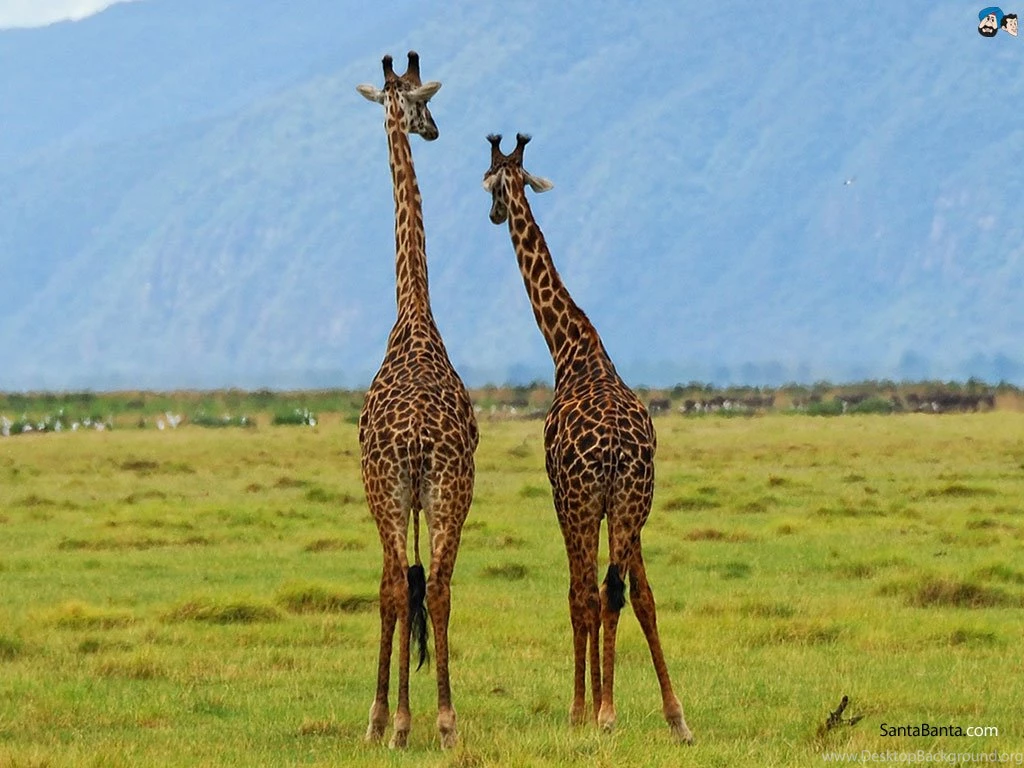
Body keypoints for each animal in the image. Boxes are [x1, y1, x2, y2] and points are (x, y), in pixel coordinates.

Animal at [482, 133, 694, 744]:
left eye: (491, 180)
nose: (494, 214)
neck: (572, 348)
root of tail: (619, 450)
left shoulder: (564, 497)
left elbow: (579, 596)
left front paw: (581, 708)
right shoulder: (617, 508)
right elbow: (636, 595)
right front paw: (666, 712)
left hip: (583, 501)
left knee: (593, 593)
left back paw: (601, 711)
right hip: (633, 501)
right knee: (627, 592)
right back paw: (668, 715)